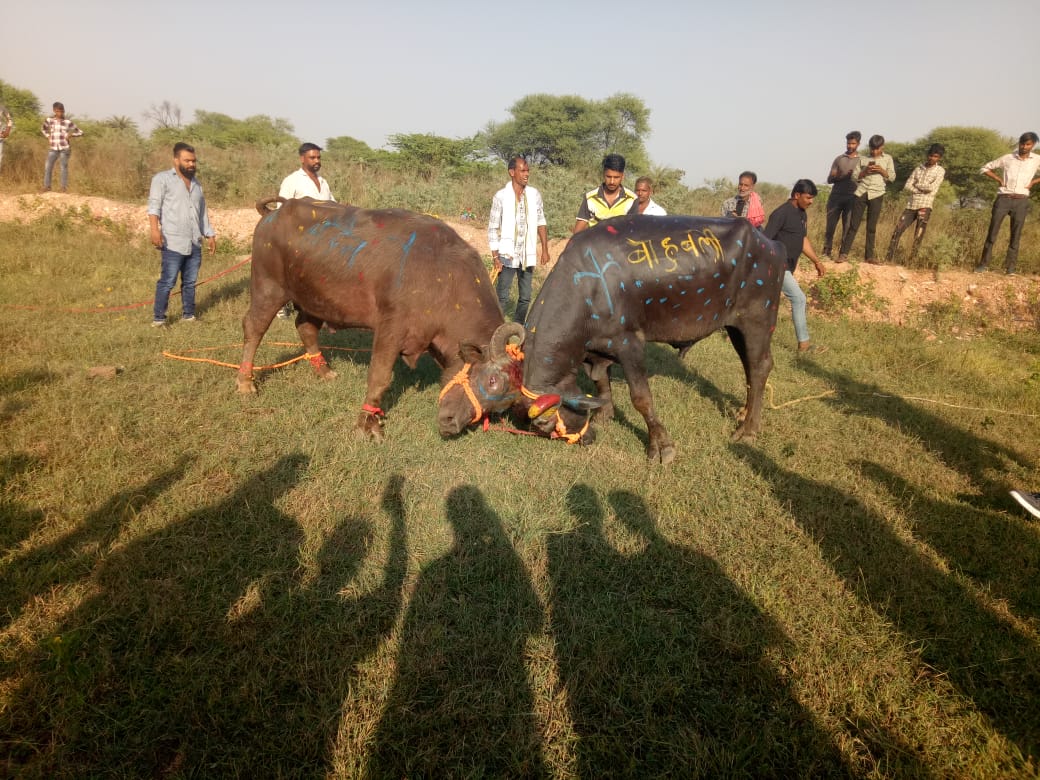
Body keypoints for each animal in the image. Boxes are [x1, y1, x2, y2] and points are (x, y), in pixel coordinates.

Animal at [239, 198, 507, 443]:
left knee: (305, 326)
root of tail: (274, 213)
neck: (444, 277)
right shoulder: (392, 327)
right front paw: (367, 425)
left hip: (313, 297)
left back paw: (325, 371)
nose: (452, 424)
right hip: (268, 288)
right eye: (491, 380)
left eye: (499, 407)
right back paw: (245, 383)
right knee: (254, 328)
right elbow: (379, 376)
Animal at [438, 214, 786, 463]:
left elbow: (641, 398)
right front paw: (606, 413)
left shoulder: (629, 343)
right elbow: (600, 381)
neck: (588, 286)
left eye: (546, 425)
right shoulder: (595, 350)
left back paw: (748, 429)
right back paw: (743, 413)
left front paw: (661, 446)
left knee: (760, 366)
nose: (586, 438)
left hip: (758, 320)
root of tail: (769, 245)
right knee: (750, 368)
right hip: (735, 327)